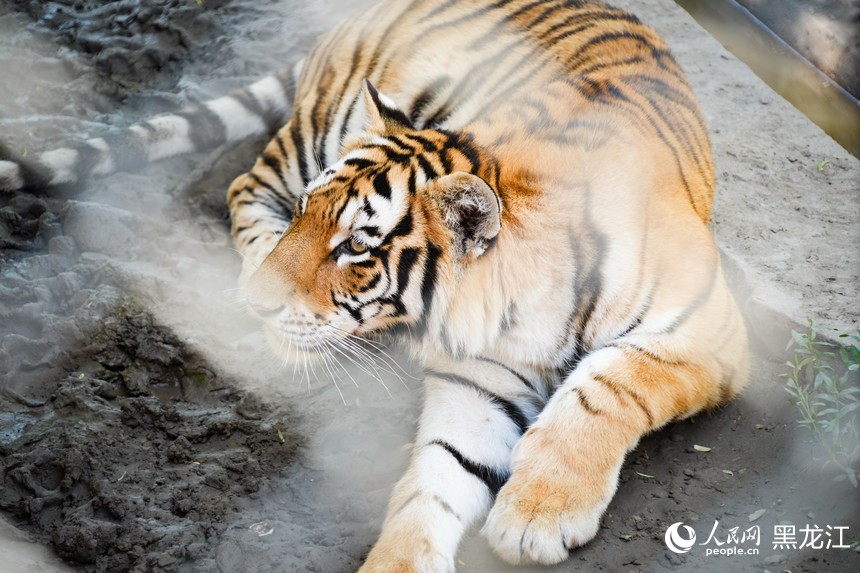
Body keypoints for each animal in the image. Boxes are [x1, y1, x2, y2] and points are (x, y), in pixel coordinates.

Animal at [1, 0, 750, 570]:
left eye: (356, 247)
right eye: (307, 214)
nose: (259, 304)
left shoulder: (708, 328)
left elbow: (606, 387)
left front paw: (538, 514)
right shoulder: (479, 382)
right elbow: (430, 483)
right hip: (317, 127)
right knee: (245, 182)